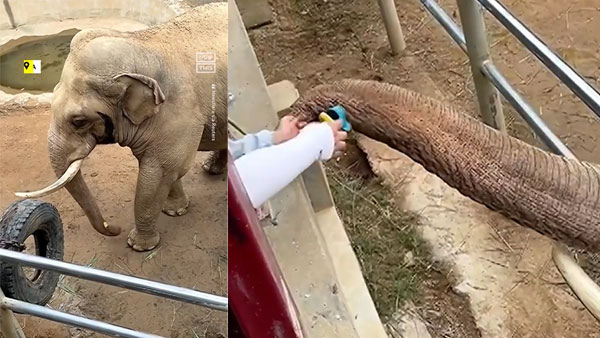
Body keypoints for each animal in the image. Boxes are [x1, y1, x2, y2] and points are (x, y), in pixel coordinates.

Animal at [16, 2, 229, 251]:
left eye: (78, 121)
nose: (114, 227)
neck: (140, 44)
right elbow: (170, 170)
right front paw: (175, 211)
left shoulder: (181, 113)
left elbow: (161, 170)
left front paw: (140, 246)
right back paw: (211, 169)